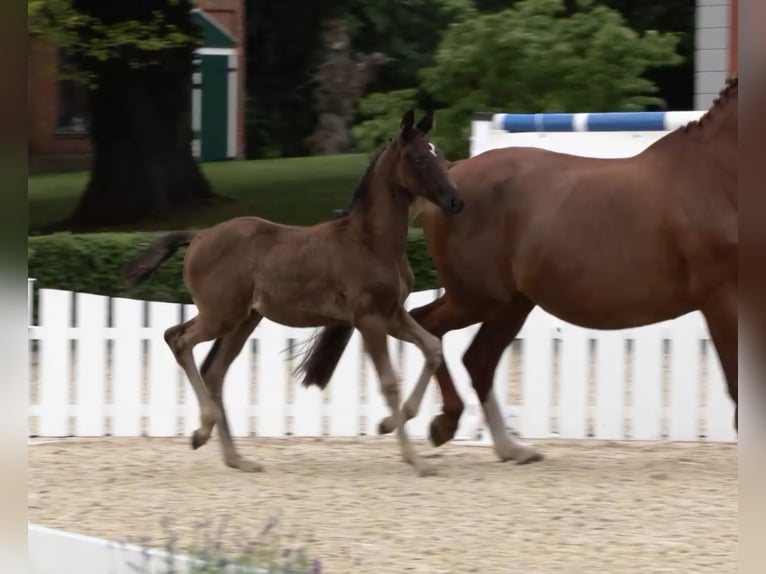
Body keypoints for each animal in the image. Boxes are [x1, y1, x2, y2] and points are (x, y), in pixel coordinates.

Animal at [122, 110, 464, 476]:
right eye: (419, 158)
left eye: (440, 154)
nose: (456, 201)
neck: (370, 240)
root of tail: (199, 236)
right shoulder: (369, 319)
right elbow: (389, 382)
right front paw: (415, 459)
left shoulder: (392, 315)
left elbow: (432, 348)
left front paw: (389, 424)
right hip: (221, 315)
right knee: (178, 339)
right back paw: (203, 430)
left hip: (243, 320)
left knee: (214, 370)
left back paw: (235, 458)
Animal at [300, 76, 738, 464]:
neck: (717, 175)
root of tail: (454, 174)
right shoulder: (721, 299)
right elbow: (735, 381)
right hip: (478, 298)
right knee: (433, 330)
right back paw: (440, 423)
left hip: (512, 303)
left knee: (475, 358)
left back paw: (508, 447)